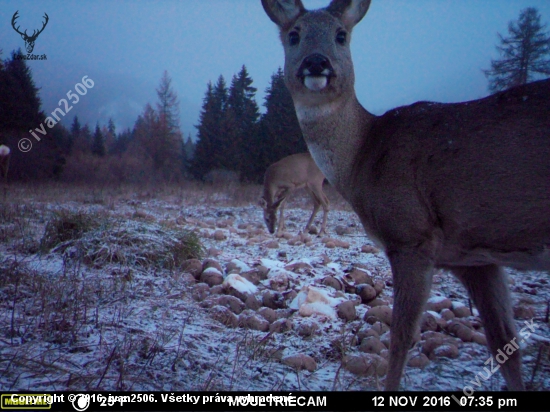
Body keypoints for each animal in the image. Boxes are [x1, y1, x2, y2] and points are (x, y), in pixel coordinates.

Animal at [264, 0, 550, 390]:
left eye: (341, 34)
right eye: (294, 35)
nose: (317, 62)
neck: (364, 158)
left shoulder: (410, 234)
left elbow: (400, 338)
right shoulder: (475, 258)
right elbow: (505, 345)